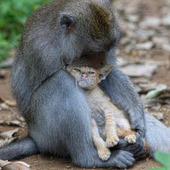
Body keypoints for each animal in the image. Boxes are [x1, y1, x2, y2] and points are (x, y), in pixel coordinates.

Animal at [0, 0, 170, 168]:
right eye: (95, 51)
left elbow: (109, 75)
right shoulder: (40, 50)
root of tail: (35, 138)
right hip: (47, 136)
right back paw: (90, 157)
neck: (61, 41)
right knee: (61, 81)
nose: (102, 60)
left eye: (109, 48)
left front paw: (137, 117)